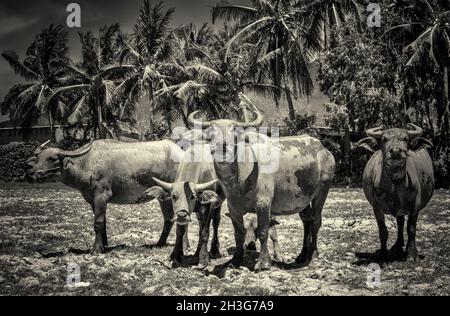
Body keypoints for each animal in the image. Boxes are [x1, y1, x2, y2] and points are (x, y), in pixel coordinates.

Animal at [25, 139, 185, 253]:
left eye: (52, 158)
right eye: (38, 158)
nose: (31, 173)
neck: (85, 163)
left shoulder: (101, 196)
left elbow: (98, 223)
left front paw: (96, 249)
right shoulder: (91, 200)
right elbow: (104, 222)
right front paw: (104, 245)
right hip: (163, 197)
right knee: (169, 218)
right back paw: (160, 243)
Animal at [188, 94, 336, 270]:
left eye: (234, 133)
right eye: (211, 133)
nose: (221, 146)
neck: (240, 180)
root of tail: (325, 151)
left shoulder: (264, 204)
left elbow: (264, 231)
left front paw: (263, 262)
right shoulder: (233, 208)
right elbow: (239, 234)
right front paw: (235, 260)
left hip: (322, 192)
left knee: (316, 222)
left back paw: (313, 255)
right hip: (304, 199)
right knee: (307, 221)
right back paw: (302, 255)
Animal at [356, 124, 434, 260]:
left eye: (406, 139)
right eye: (384, 139)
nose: (396, 151)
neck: (395, 187)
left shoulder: (415, 206)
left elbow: (411, 229)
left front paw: (412, 253)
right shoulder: (377, 208)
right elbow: (383, 231)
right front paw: (383, 254)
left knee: (402, 224)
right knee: (400, 223)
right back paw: (397, 246)